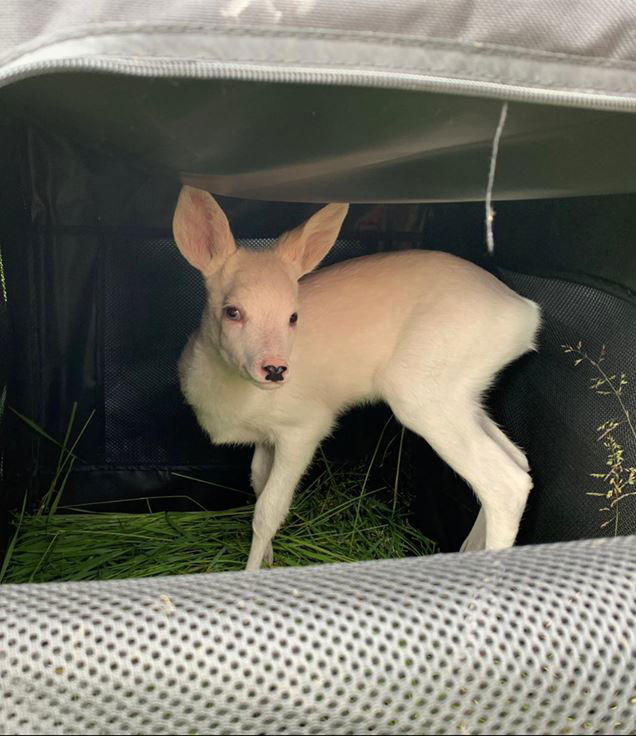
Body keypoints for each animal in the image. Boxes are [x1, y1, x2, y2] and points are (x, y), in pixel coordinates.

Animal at [172, 185, 541, 571]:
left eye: (293, 316)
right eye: (232, 312)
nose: (274, 369)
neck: (235, 398)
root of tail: (525, 314)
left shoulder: (304, 426)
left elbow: (268, 510)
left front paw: (253, 571)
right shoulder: (266, 436)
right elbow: (257, 481)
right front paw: (270, 558)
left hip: (422, 388)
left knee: (506, 482)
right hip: (463, 391)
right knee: (518, 461)